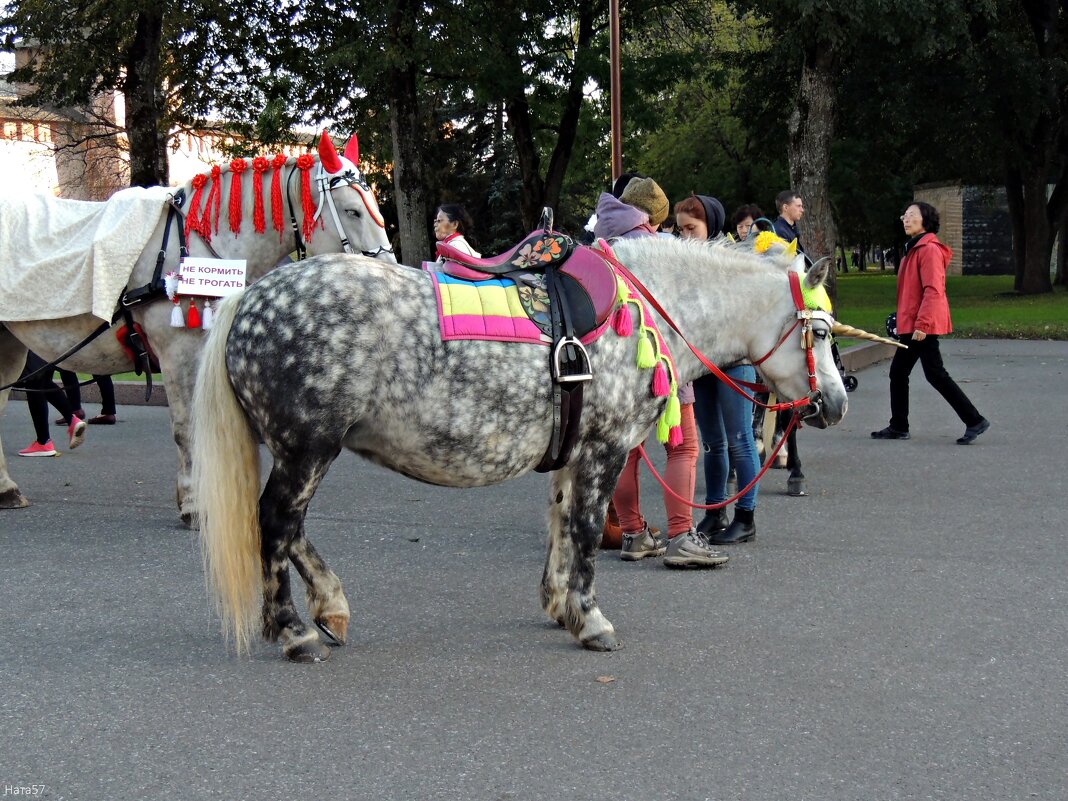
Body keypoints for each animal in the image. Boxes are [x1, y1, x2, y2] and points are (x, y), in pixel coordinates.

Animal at [0, 133, 397, 521]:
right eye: (352, 210)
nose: (389, 274)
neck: (194, 247)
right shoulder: (177, 352)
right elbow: (185, 427)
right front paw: (193, 502)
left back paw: (6, 489)